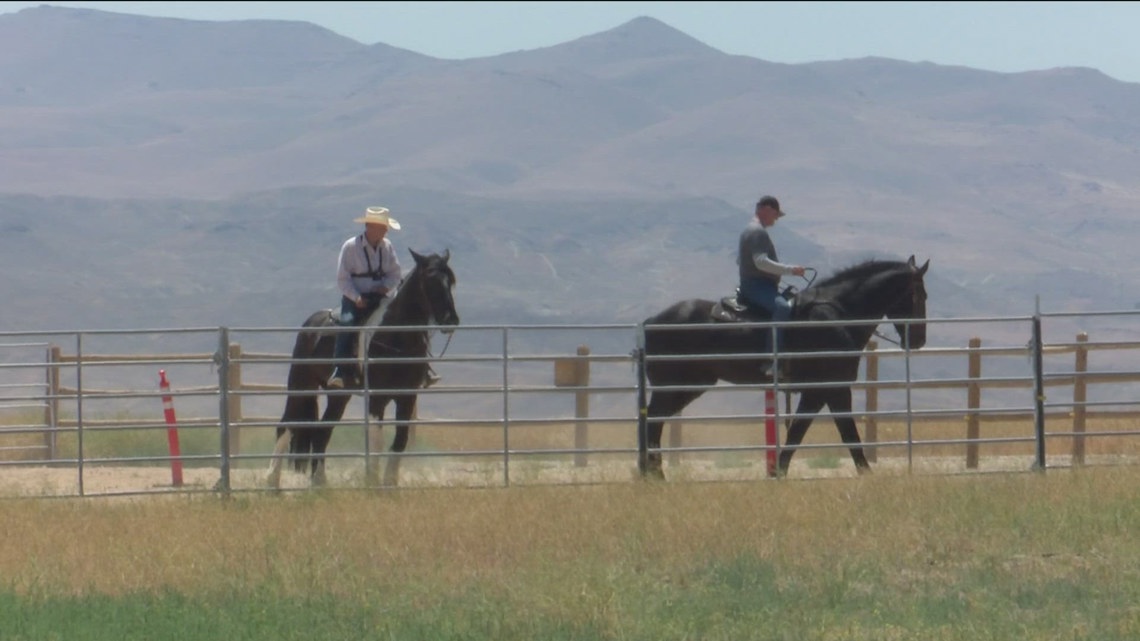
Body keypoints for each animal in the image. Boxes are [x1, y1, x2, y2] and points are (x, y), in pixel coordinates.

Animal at [266, 247, 458, 485]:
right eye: (430, 279)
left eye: (451, 281)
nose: (451, 320)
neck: (395, 336)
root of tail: (310, 325)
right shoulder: (376, 398)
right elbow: (376, 442)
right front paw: (373, 483)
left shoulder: (407, 396)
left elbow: (400, 440)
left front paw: (390, 484)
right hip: (301, 385)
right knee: (285, 426)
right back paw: (272, 481)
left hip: (338, 395)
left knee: (322, 431)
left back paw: (320, 483)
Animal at [638, 252, 930, 476]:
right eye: (920, 295)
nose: (918, 340)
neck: (839, 315)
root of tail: (652, 321)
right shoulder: (832, 389)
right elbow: (845, 433)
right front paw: (867, 474)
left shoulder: (817, 393)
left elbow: (798, 433)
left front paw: (777, 472)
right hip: (673, 386)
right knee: (652, 419)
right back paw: (654, 474)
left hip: (690, 386)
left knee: (654, 420)